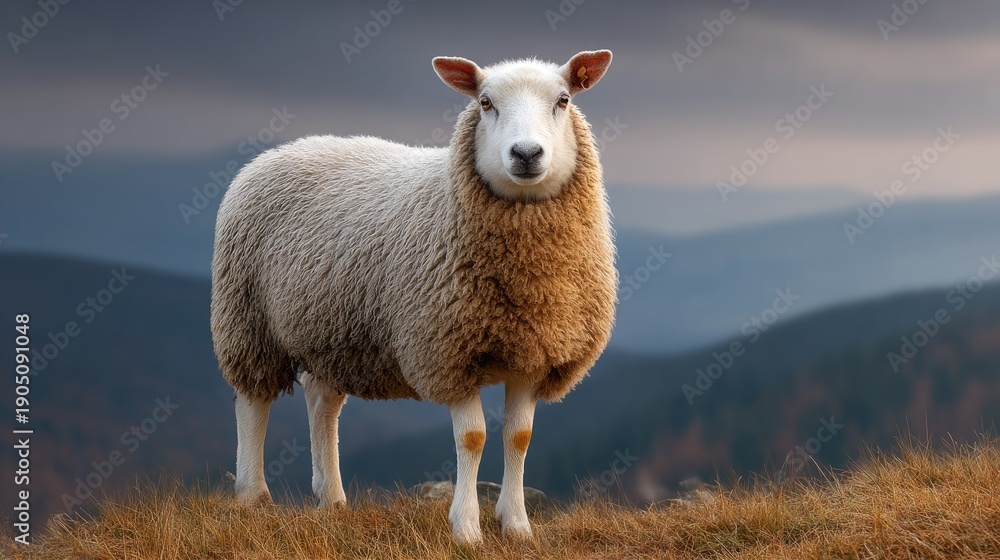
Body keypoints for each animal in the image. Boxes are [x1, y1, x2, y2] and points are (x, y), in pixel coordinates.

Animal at [210, 50, 617, 543]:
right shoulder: (446, 350)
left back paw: (332, 499)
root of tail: (281, 150)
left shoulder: (533, 352)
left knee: (321, 402)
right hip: (247, 318)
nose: (526, 154)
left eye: (563, 100)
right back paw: (253, 496)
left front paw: (517, 525)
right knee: (252, 402)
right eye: (484, 102)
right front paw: (466, 528)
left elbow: (518, 438)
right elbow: (473, 438)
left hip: (329, 328)